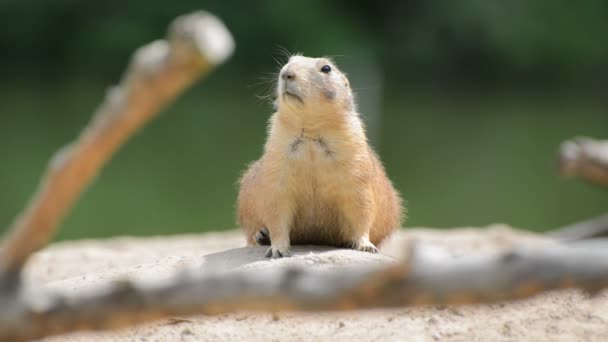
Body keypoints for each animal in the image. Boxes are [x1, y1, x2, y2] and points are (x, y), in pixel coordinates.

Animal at [238, 55, 404, 256]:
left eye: (326, 68)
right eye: (289, 60)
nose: (287, 73)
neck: (311, 131)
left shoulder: (355, 163)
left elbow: (361, 206)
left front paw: (365, 245)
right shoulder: (277, 158)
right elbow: (277, 206)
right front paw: (277, 249)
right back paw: (261, 235)